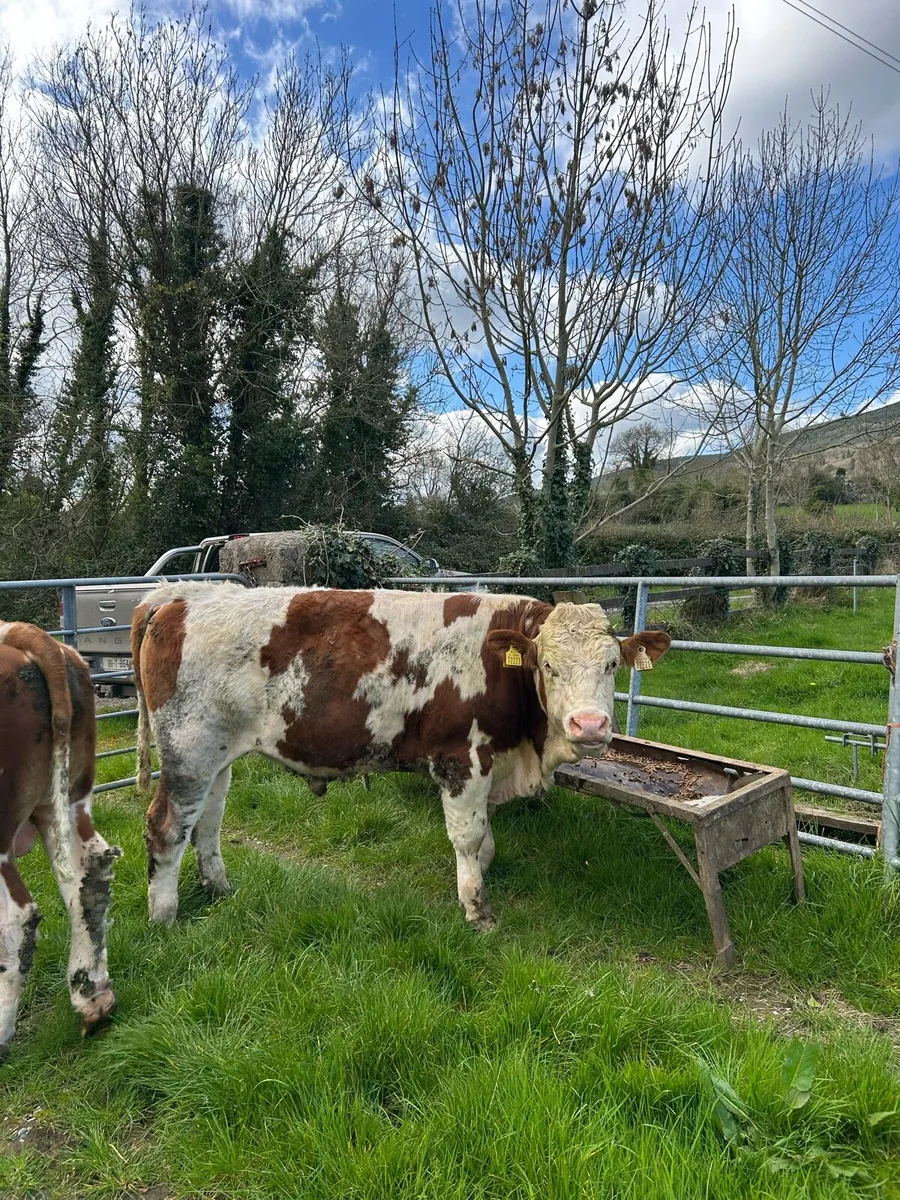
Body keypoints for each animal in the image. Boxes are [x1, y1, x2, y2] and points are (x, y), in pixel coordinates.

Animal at [131, 583, 670, 930]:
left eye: (612, 664)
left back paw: (220, 890)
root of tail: (178, 597)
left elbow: (486, 843)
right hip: (189, 749)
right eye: (548, 665)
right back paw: (164, 919)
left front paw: (477, 883)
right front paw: (478, 911)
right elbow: (470, 838)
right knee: (166, 828)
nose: (590, 725)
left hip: (218, 755)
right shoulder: (460, 759)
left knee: (207, 823)